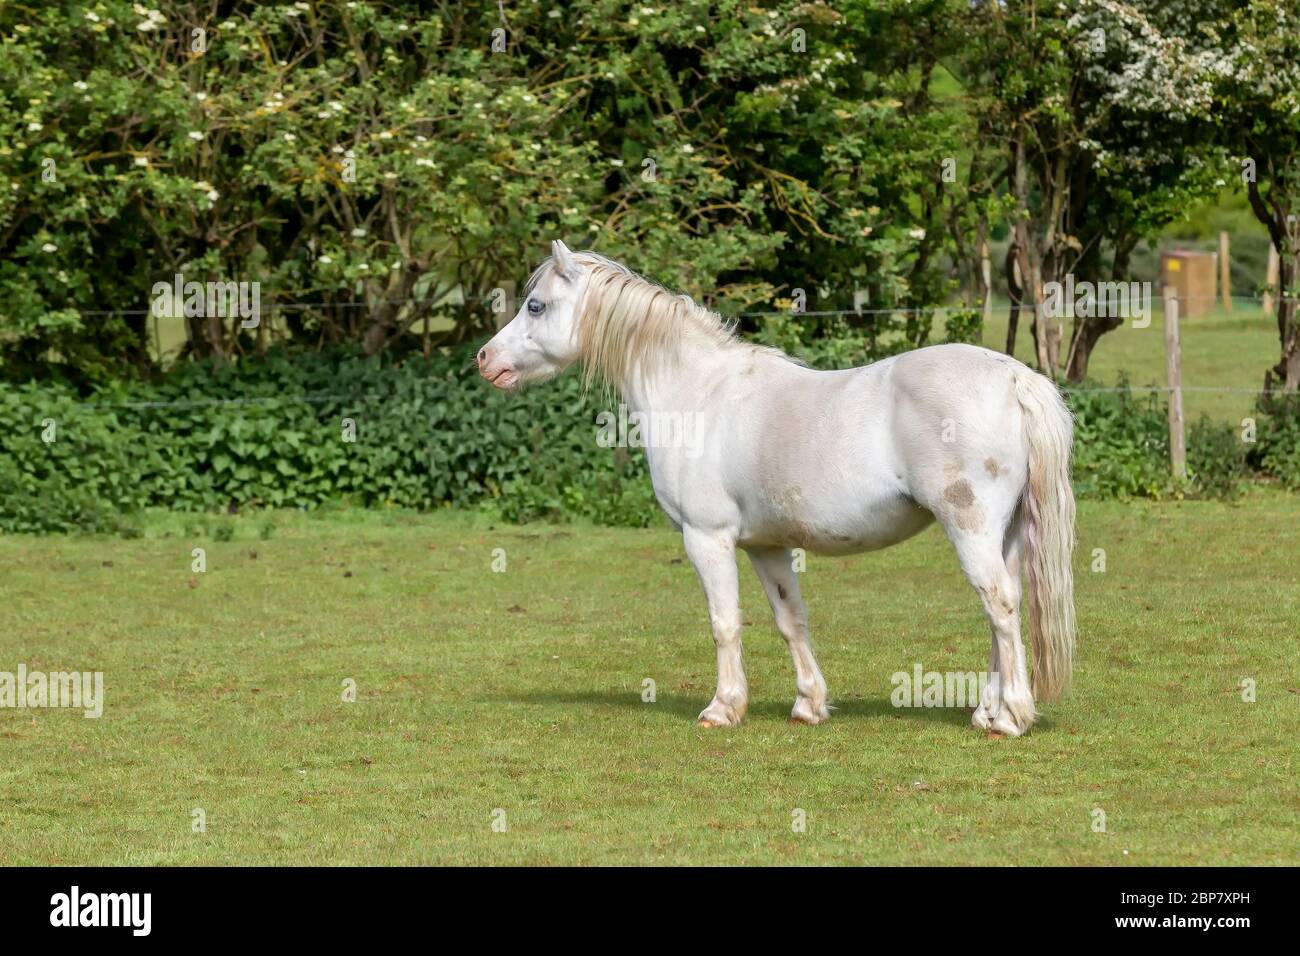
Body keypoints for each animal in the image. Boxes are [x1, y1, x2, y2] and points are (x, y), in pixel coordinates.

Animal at [478, 241, 1076, 737]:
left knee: (999, 606)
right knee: (1003, 607)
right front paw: (808, 705)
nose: (485, 358)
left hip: (970, 528)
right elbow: (791, 621)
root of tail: (1015, 378)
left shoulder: (707, 538)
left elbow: (724, 624)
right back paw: (986, 712)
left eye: (536, 307)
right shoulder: (767, 546)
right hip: (1006, 535)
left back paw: (1011, 718)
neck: (696, 393)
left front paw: (722, 708)